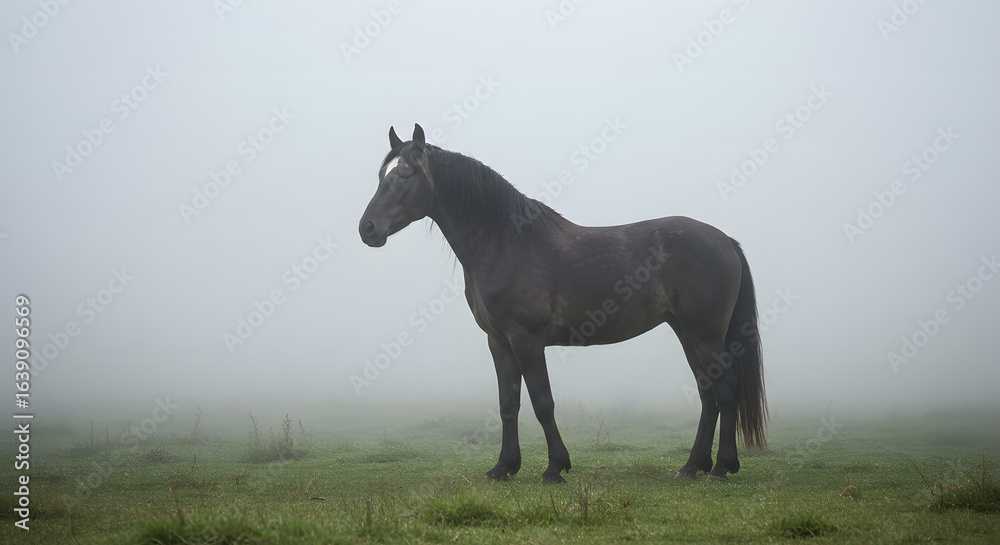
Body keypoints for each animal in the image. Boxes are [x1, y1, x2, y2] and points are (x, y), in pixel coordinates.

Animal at [359, 124, 767, 482]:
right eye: (382, 175)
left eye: (406, 174)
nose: (367, 228)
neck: (506, 242)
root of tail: (725, 240)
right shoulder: (498, 341)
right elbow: (508, 405)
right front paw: (503, 468)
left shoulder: (526, 339)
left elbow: (542, 402)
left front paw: (555, 468)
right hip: (685, 332)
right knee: (708, 394)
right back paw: (692, 466)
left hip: (705, 335)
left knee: (725, 391)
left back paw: (721, 468)